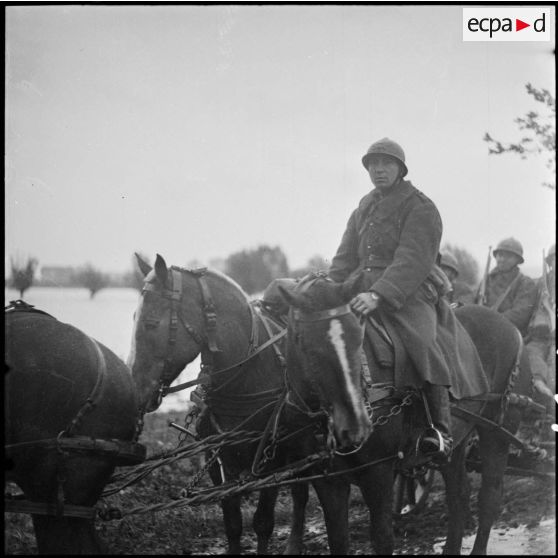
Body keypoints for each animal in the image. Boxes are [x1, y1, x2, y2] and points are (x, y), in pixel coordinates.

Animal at [129, 258, 374, 556]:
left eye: (151, 324)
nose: (135, 389)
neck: (246, 372)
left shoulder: (272, 459)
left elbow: (263, 522)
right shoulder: (217, 459)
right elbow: (232, 522)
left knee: (300, 492)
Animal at [282, 278, 536, 556]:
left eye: (358, 339)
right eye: (306, 345)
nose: (355, 426)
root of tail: (510, 326)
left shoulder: (379, 473)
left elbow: (382, 538)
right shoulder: (328, 483)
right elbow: (338, 541)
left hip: (497, 432)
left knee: (489, 496)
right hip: (457, 441)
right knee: (458, 494)